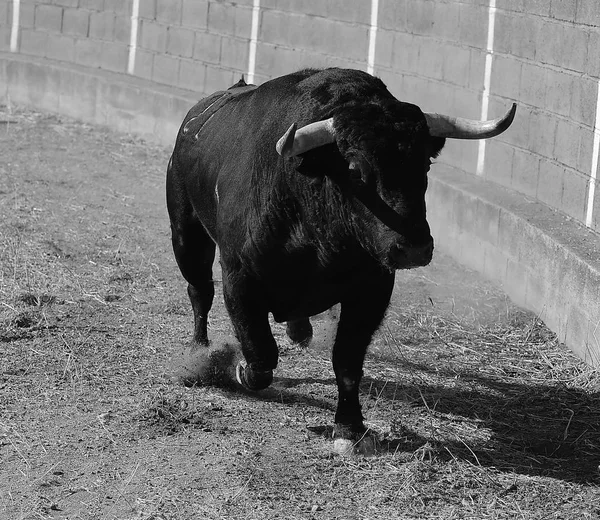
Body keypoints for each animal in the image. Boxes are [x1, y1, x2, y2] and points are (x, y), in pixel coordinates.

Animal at [166, 68, 512, 450]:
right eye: (355, 167)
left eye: (424, 164)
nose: (414, 249)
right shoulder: (239, 278)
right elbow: (260, 352)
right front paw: (239, 369)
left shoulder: (372, 289)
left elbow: (347, 360)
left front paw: (349, 427)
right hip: (186, 232)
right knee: (200, 291)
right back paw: (199, 352)